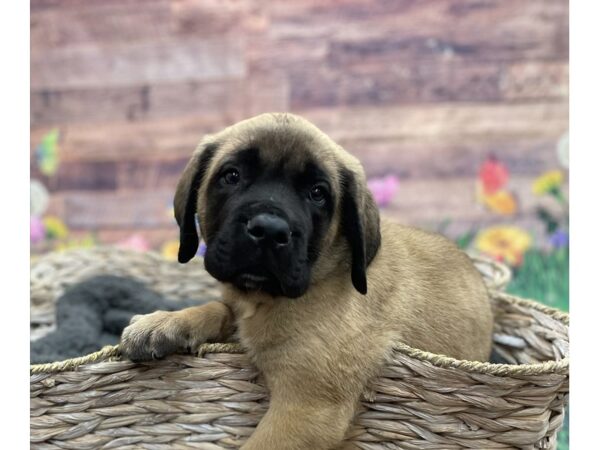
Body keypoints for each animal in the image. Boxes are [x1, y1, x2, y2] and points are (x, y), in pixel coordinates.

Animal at [119, 111, 494, 446]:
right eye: (232, 176)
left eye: (317, 193)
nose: (269, 230)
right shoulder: (239, 311)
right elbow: (217, 307)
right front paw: (162, 324)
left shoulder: (306, 408)